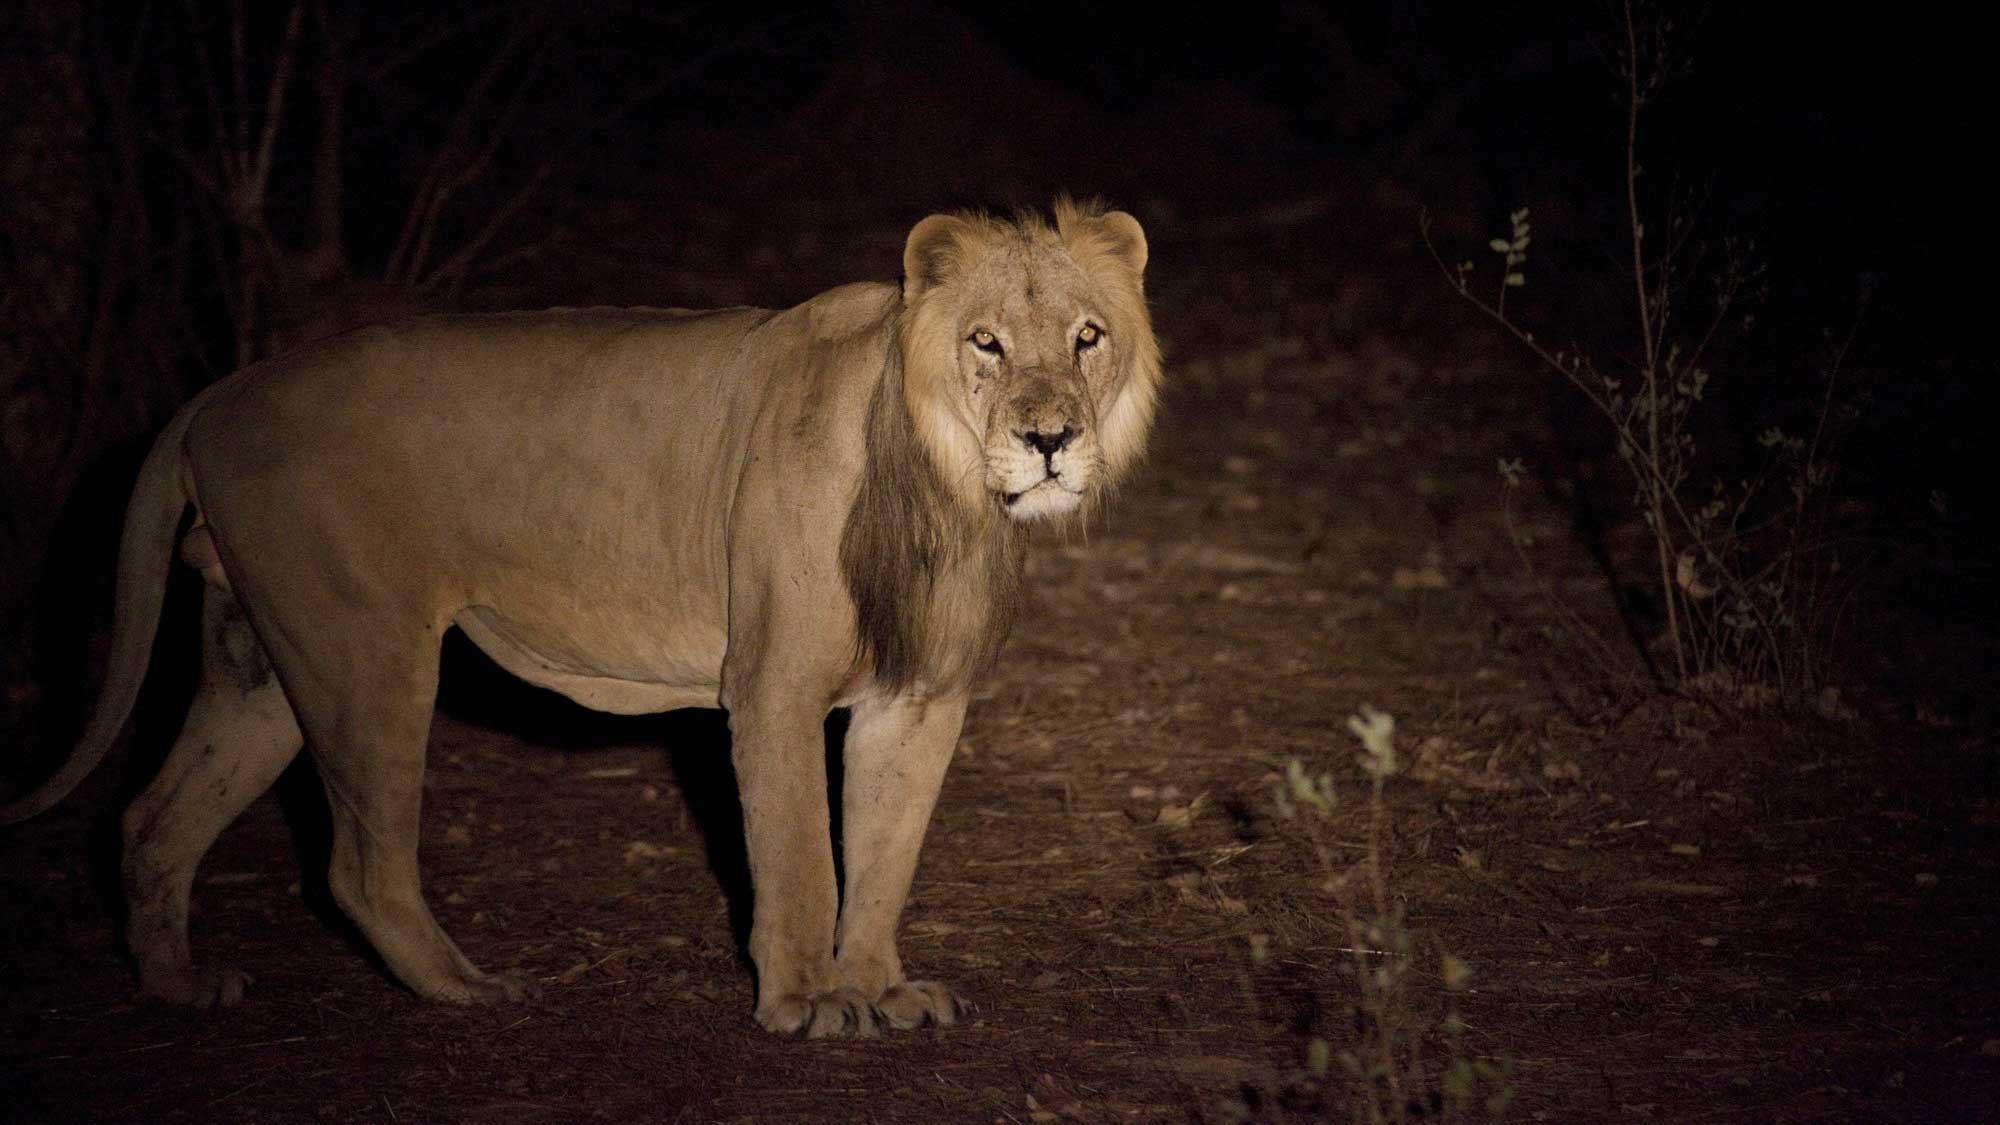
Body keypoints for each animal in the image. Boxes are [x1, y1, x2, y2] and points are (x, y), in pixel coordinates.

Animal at [1, 198, 1160, 1039]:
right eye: (987, 343)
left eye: (1086, 338)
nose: (1049, 439)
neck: (947, 495)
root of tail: (220, 391)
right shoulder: (772, 686)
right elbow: (800, 853)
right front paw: (807, 1002)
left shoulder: (918, 696)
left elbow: (883, 854)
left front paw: (879, 987)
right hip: (365, 655)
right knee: (358, 867)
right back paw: (470, 989)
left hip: (265, 668)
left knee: (152, 819)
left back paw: (176, 988)